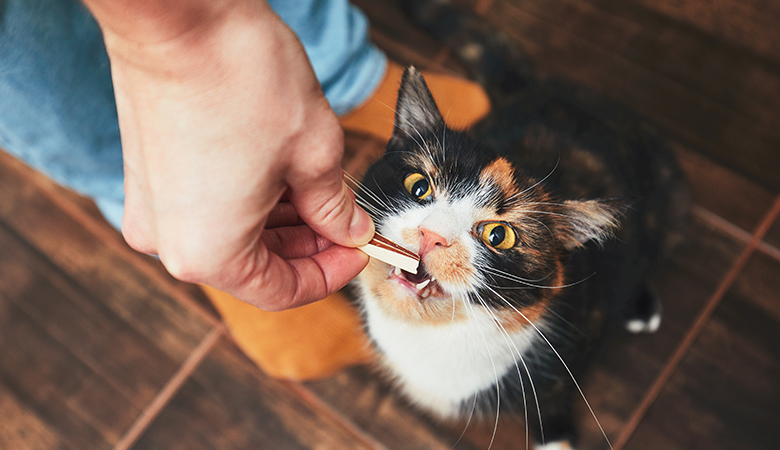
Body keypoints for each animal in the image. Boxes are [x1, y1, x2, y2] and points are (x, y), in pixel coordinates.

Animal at [348, 1, 688, 448]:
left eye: (499, 235)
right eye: (418, 186)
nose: (431, 235)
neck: (431, 336)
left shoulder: (557, 374)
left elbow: (552, 413)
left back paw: (641, 306)